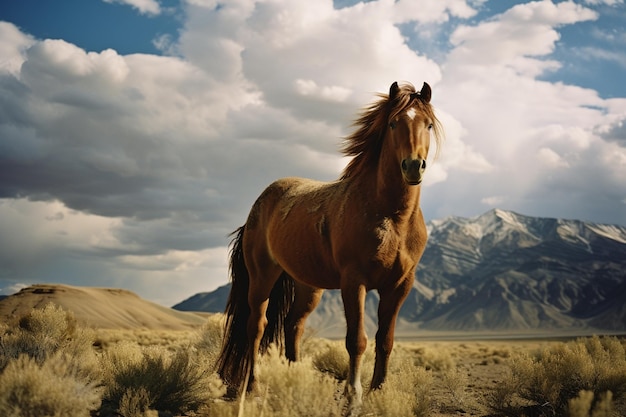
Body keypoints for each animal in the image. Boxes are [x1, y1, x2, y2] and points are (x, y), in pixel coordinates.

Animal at [217, 79, 442, 408]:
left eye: (428, 124)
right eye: (393, 123)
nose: (414, 166)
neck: (391, 217)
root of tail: (259, 204)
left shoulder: (400, 285)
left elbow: (385, 341)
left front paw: (378, 392)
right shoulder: (354, 281)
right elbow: (357, 340)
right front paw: (353, 397)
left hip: (308, 286)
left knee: (292, 326)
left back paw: (295, 381)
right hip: (262, 278)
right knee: (256, 328)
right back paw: (253, 387)